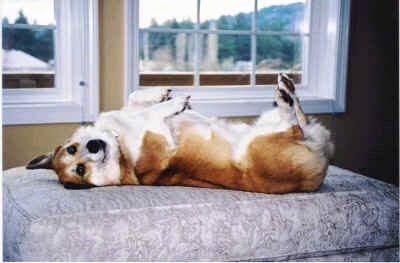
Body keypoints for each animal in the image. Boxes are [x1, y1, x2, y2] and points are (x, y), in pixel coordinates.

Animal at [26, 74, 334, 194]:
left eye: (72, 149)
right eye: (80, 170)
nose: (93, 145)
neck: (118, 142)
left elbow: (134, 96)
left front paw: (161, 94)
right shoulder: (160, 140)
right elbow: (154, 114)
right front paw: (173, 103)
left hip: (266, 120)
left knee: (301, 118)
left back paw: (288, 89)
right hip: (266, 141)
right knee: (292, 124)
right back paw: (285, 99)